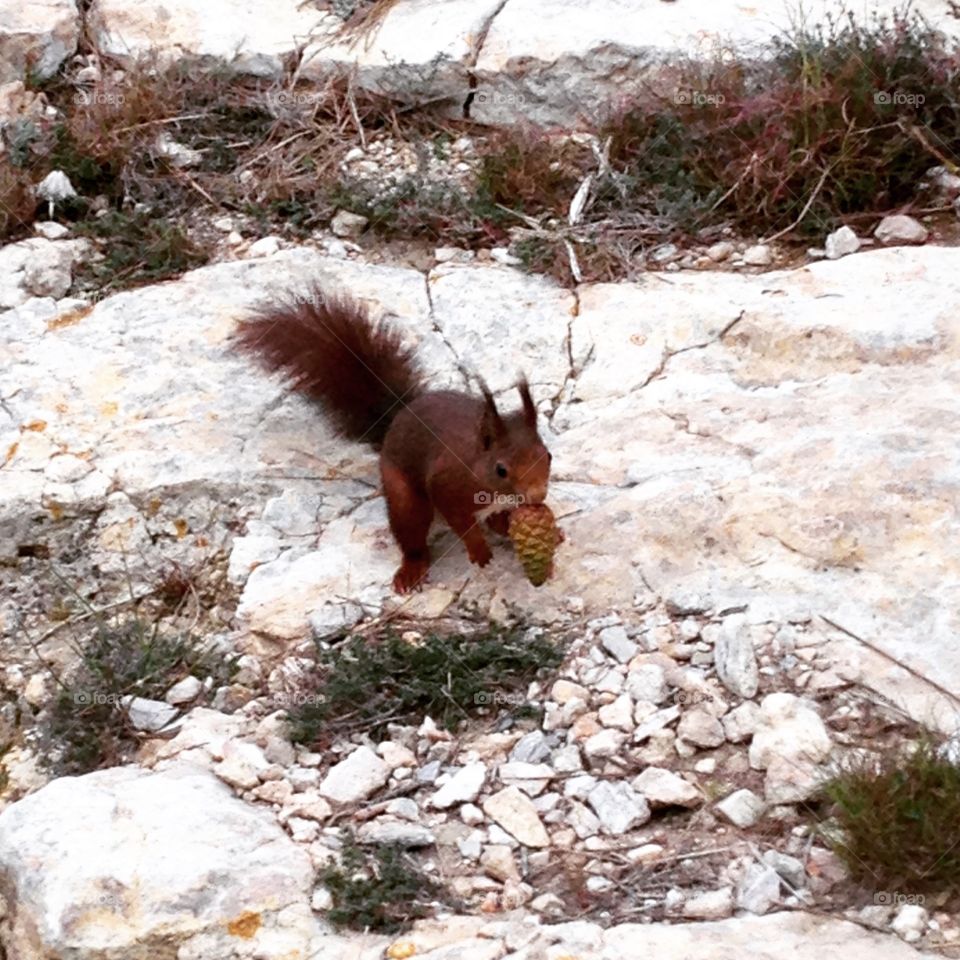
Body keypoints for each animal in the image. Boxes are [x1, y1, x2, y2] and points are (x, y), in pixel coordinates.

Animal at [236, 286, 552, 593]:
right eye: (501, 469)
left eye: (548, 456)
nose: (537, 496)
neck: (480, 469)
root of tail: (396, 418)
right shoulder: (447, 484)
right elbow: (460, 521)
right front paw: (478, 549)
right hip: (403, 497)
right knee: (412, 535)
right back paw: (411, 570)